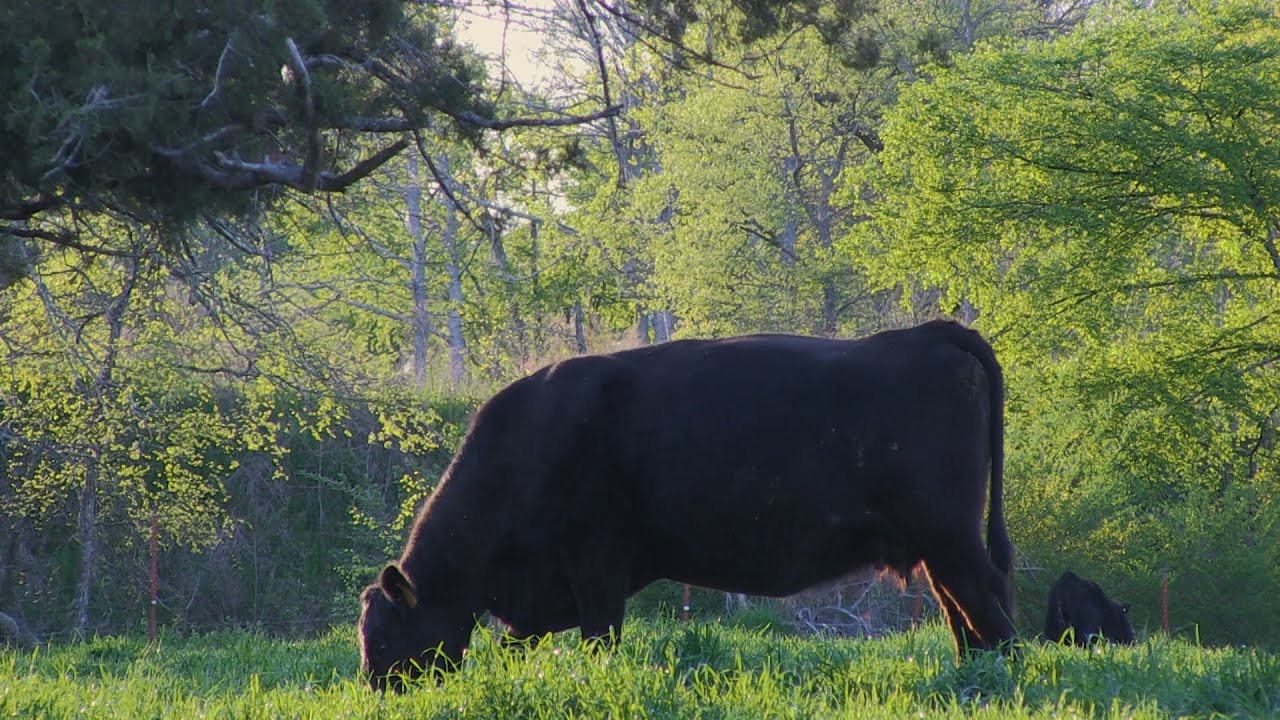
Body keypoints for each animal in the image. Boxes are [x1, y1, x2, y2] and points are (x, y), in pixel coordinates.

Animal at [358, 320, 1015, 691]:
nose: (376, 691)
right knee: (963, 612)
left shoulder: (595, 559)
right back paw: (973, 678)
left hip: (950, 536)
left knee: (988, 607)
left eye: (384, 639)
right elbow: (519, 645)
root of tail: (928, 332)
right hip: (937, 548)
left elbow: (600, 637)